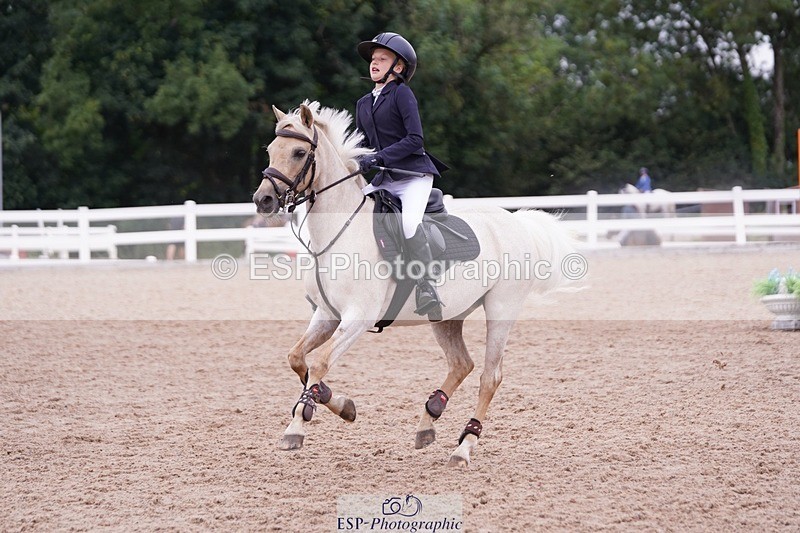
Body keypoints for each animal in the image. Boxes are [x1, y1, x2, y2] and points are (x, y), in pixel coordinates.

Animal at [252, 101, 578, 467]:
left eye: (298, 152)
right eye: (270, 150)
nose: (263, 200)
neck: (340, 231)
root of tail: (515, 221)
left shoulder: (358, 317)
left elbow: (320, 362)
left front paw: (302, 423)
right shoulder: (327, 314)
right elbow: (298, 359)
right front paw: (334, 407)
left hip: (501, 309)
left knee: (489, 377)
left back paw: (463, 448)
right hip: (446, 316)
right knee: (462, 364)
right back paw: (429, 419)